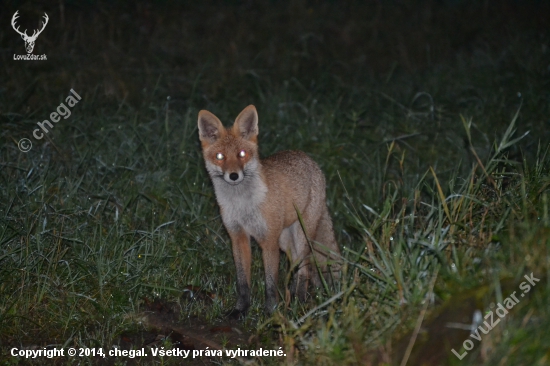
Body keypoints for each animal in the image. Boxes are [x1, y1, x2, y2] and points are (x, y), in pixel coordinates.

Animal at [198, 104, 340, 316]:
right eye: (220, 157)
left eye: (242, 154)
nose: (233, 176)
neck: (243, 205)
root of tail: (309, 159)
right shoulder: (238, 237)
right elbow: (243, 282)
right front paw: (241, 309)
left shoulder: (269, 241)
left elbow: (271, 283)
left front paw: (271, 313)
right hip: (286, 241)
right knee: (299, 267)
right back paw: (294, 297)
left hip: (300, 236)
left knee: (305, 268)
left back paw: (299, 301)